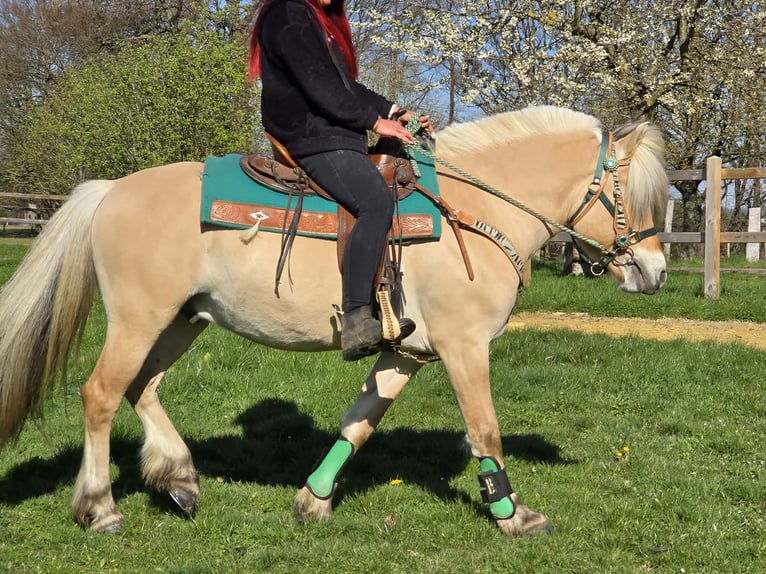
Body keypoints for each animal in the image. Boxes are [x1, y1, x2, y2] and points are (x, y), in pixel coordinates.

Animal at [0, 105, 668, 537]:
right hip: (139, 320)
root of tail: (110, 189)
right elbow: (485, 431)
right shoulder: (463, 345)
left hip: (182, 320)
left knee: (141, 388)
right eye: (632, 199)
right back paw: (101, 508)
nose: (656, 272)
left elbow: (358, 424)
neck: (473, 211)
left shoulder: (407, 353)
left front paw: (314, 501)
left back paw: (179, 477)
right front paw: (512, 515)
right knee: (100, 394)